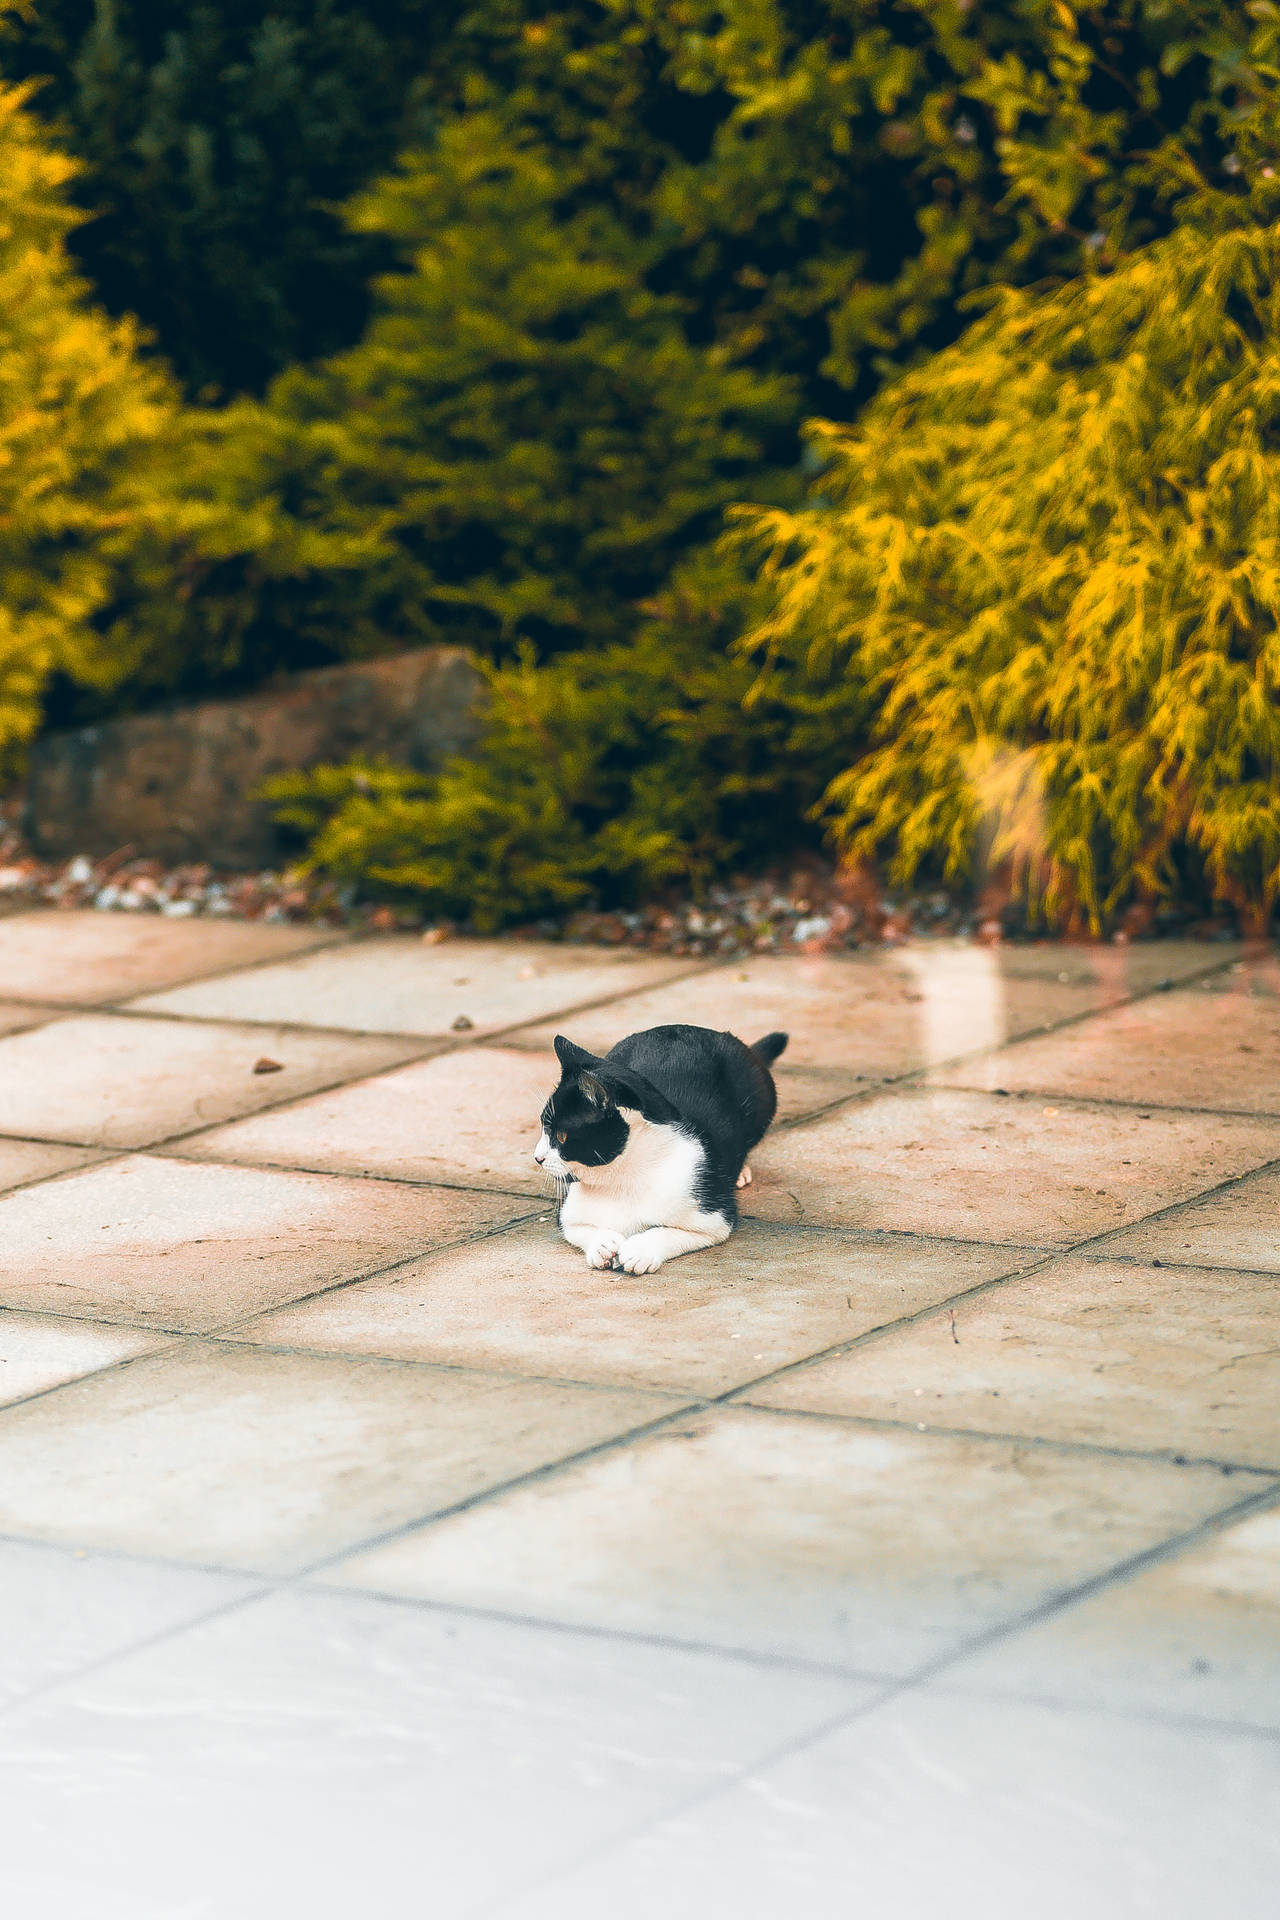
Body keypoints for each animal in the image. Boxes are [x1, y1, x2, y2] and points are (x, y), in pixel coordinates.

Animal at [533, 1021, 790, 1274]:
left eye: (561, 1136)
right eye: (544, 1127)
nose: (537, 1157)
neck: (621, 1177)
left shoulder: (715, 1217)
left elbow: (670, 1232)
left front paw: (640, 1250)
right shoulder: (567, 1213)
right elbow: (576, 1227)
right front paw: (602, 1244)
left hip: (761, 1095)